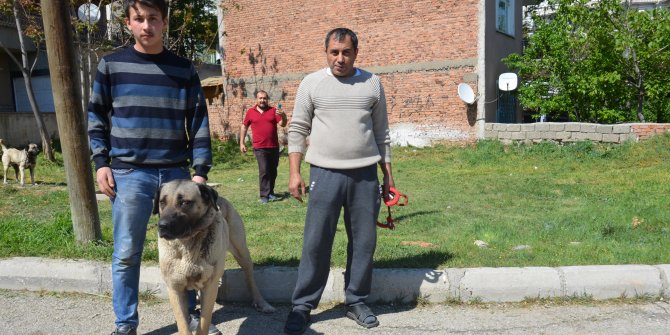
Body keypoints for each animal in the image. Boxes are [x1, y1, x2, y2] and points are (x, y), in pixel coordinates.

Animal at [155, 181, 276, 335]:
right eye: (162, 202)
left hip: (241, 251)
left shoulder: (209, 287)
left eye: (185, 202)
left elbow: (204, 323)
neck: (188, 244)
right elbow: (183, 325)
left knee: (250, 278)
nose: (162, 226)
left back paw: (261, 302)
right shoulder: (175, 288)